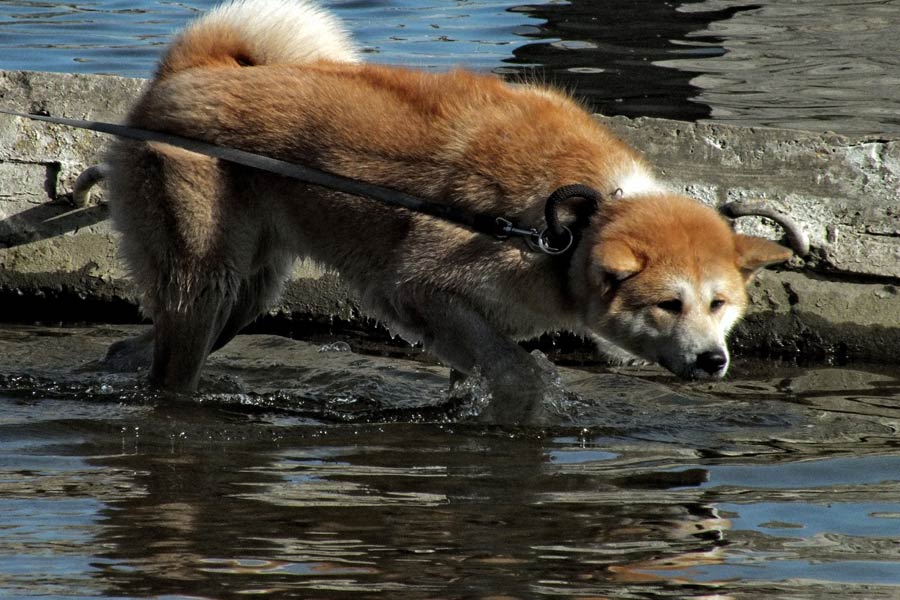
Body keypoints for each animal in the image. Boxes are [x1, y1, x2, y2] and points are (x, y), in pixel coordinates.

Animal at [96, 0, 788, 424]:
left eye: (719, 304)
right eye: (670, 303)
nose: (714, 360)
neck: (567, 225)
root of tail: (186, 72)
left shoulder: (461, 319)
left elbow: (480, 369)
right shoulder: (421, 287)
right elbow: (518, 373)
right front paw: (527, 408)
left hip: (248, 292)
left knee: (151, 342)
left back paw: (116, 360)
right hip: (206, 278)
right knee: (175, 361)